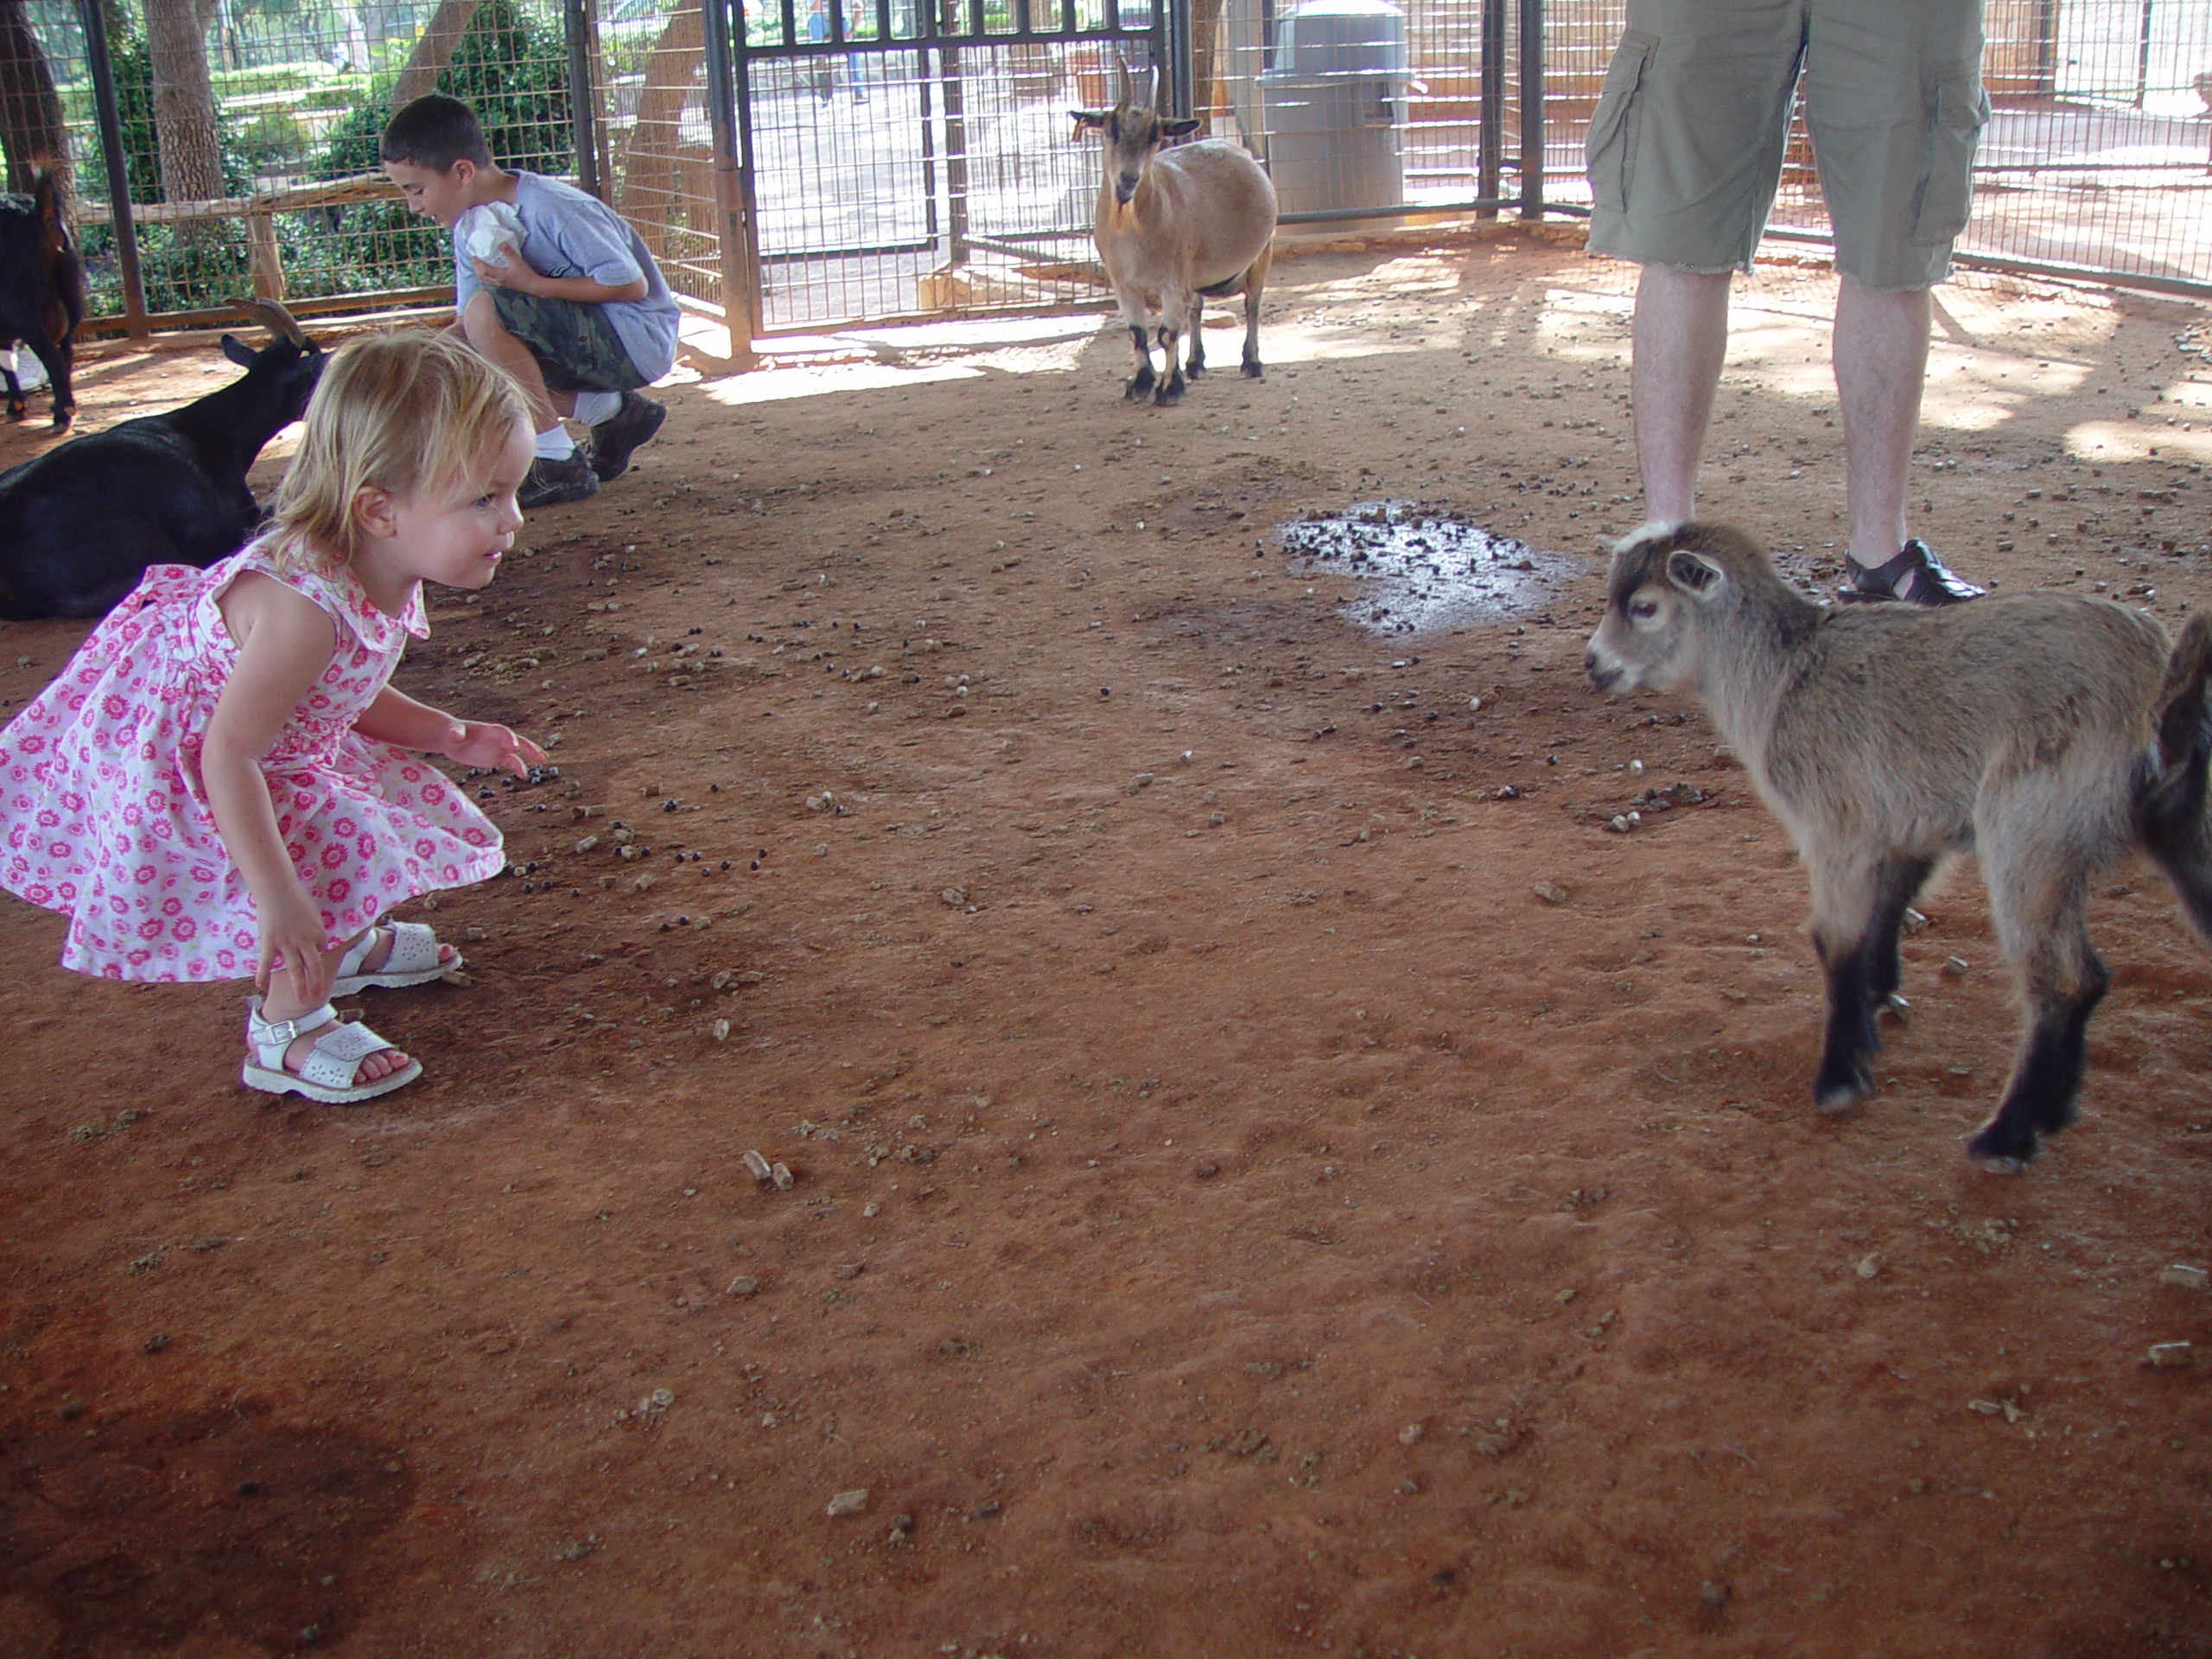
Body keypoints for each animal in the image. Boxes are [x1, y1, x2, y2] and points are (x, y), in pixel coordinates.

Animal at [0, 167, 84, 429]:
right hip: (71, 291)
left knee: (52, 357)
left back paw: (63, 414)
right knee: (66, 351)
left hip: (20, 310)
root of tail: (38, 213)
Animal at [1071, 70, 1282, 409]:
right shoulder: (1123, 282)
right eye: (1110, 128)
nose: (1128, 180)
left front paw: (1169, 389)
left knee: (1252, 304)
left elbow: (1167, 334)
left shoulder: (1172, 279)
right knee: (1196, 308)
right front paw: (1140, 383)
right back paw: (1195, 363)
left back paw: (1251, 362)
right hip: (1195, 272)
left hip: (1263, 252)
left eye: (1155, 135)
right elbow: (1137, 333)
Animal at [1583, 526, 2212, 1176]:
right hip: (2180, 826)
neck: (1781, 676)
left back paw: (2009, 1134)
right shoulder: (1911, 823)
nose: (1594, 664)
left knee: (2069, 979)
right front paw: (1876, 1000)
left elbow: (1835, 940)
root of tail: (2158, 693)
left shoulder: (1838, 826)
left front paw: (1841, 1075)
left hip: (2032, 829)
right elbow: (1886, 909)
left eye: (1645, 607)